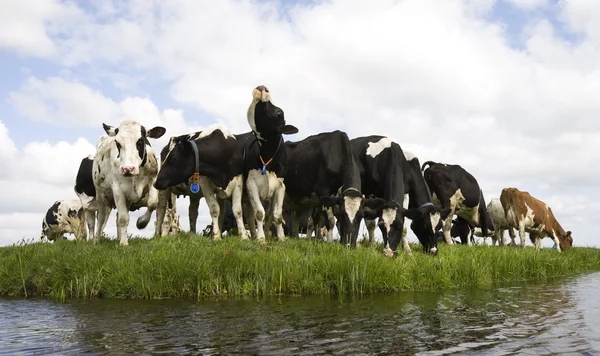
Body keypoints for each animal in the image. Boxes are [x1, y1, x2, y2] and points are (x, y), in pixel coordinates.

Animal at [244, 85, 298, 243]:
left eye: (279, 112)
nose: (263, 87)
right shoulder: (251, 184)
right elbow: (259, 213)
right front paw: (261, 239)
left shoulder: (280, 186)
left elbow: (277, 215)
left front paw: (281, 238)